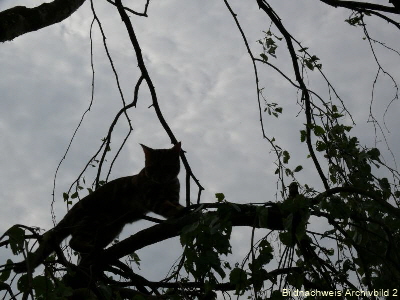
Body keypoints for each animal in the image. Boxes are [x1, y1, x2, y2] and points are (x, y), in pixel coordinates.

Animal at [14, 142, 184, 274]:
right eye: (153, 167)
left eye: (167, 166)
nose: (159, 176)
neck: (165, 185)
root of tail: (71, 212)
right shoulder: (152, 198)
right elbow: (168, 207)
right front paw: (180, 212)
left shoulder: (172, 197)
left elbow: (175, 204)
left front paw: (184, 209)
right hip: (94, 220)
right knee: (74, 241)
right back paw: (93, 249)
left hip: (110, 230)